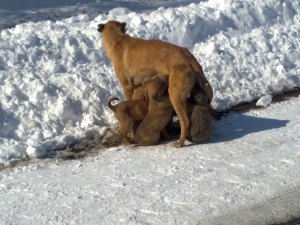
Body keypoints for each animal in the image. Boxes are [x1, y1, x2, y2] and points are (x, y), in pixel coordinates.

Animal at [97, 20, 212, 148]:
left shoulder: (128, 86)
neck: (118, 40)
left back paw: (179, 142)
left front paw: (131, 136)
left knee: (185, 121)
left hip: (175, 96)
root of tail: (189, 58)